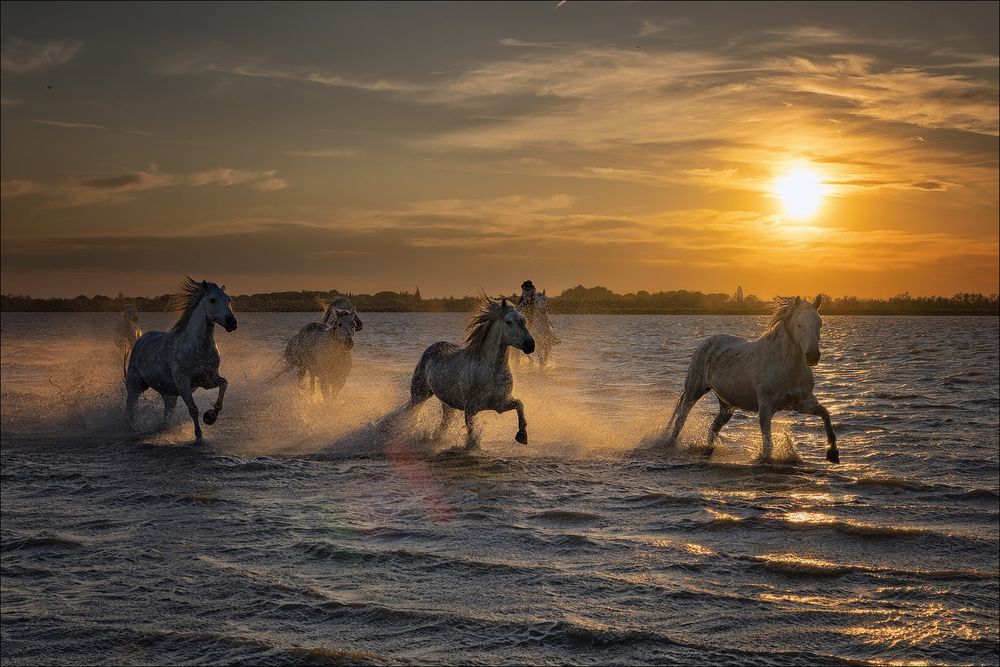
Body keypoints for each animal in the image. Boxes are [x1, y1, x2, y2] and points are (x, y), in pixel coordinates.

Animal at [124, 278, 238, 444]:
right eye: (212, 300)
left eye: (229, 300)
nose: (232, 322)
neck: (199, 348)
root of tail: (141, 339)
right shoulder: (183, 382)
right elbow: (193, 409)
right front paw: (199, 435)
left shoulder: (208, 379)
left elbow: (224, 384)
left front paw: (210, 417)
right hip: (135, 385)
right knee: (130, 408)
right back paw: (135, 428)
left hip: (168, 393)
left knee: (166, 413)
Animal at [406, 296, 536, 448]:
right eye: (509, 322)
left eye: (525, 320)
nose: (530, 344)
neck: (491, 372)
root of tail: (431, 348)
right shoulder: (470, 409)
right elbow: (471, 435)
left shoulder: (500, 404)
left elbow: (520, 405)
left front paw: (522, 436)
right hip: (420, 394)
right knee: (412, 414)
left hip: (448, 404)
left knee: (443, 423)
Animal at [664, 298, 836, 464]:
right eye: (799, 324)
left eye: (819, 323)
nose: (813, 356)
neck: (786, 366)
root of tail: (705, 342)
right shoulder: (766, 407)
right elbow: (767, 443)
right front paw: (765, 460)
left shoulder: (801, 403)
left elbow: (826, 414)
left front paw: (833, 455)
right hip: (694, 391)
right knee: (680, 420)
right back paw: (669, 444)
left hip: (726, 405)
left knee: (713, 427)